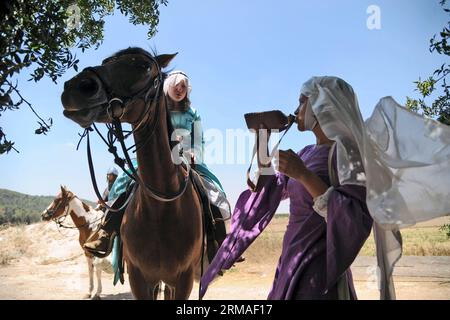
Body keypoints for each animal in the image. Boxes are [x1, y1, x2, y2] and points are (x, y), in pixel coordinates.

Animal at [61, 48, 204, 300]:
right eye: (106, 60)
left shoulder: (183, 280)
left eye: (145, 67)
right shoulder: (139, 277)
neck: (161, 208)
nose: (76, 87)